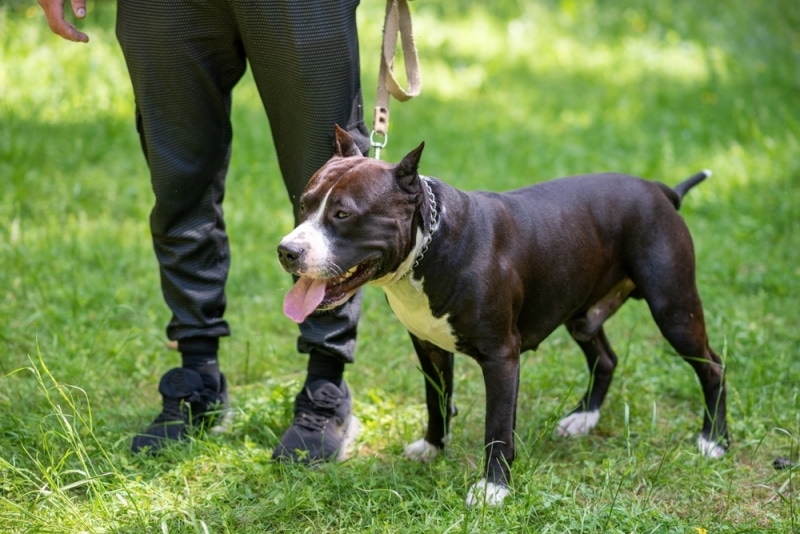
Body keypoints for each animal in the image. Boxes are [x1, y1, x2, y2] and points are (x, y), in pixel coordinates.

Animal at [278, 125, 728, 506]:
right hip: (582, 313)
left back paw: (714, 440)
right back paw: (583, 418)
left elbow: (496, 428)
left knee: (713, 366)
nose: (287, 251)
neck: (431, 244)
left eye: (343, 214)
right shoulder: (429, 347)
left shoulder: (501, 358)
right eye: (304, 204)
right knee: (606, 357)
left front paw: (493, 489)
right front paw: (433, 448)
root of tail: (659, 189)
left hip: (673, 308)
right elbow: (436, 402)